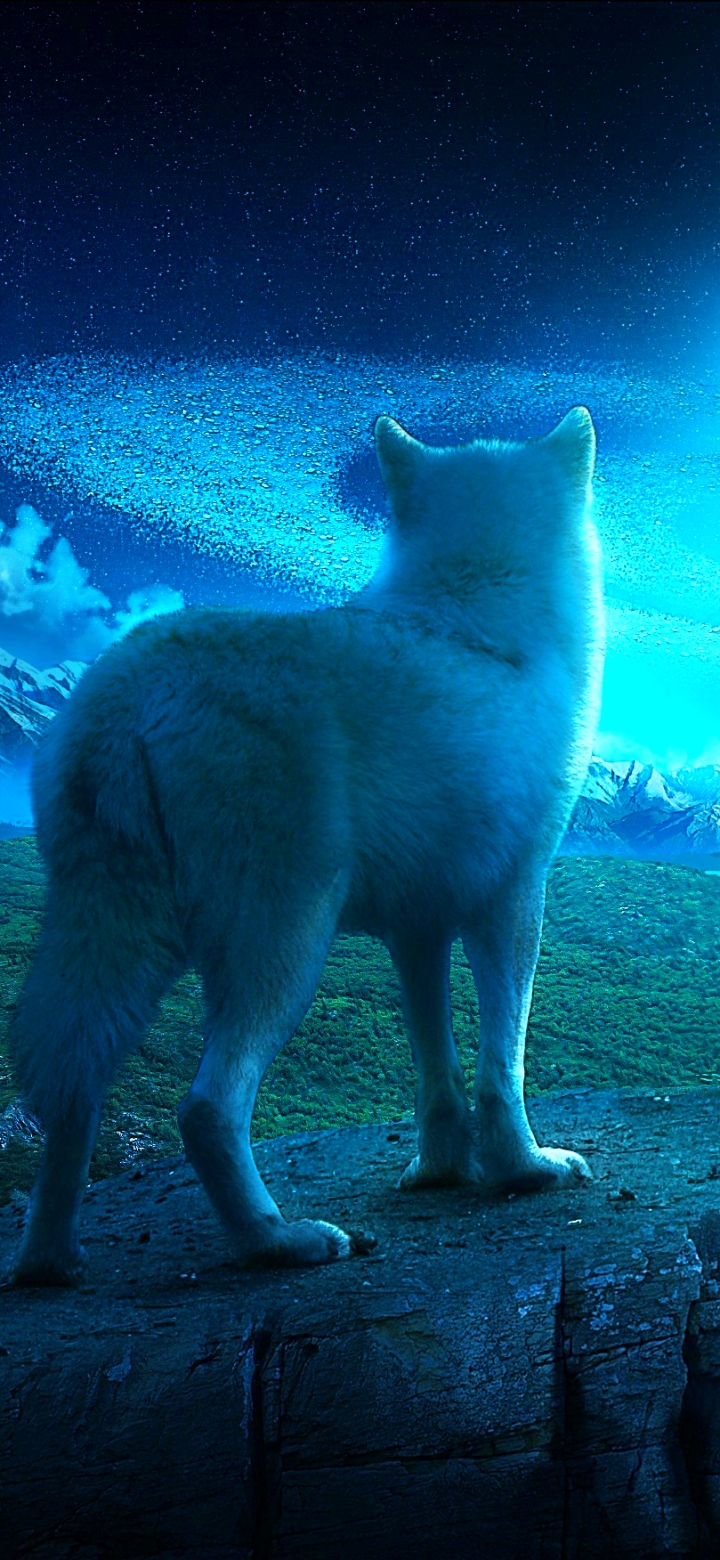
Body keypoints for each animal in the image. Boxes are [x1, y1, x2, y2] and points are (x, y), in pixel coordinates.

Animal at [10, 408, 604, 1286]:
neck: (476, 601)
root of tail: (125, 700)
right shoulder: (511, 901)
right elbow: (504, 1064)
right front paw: (525, 1171)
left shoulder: (416, 929)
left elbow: (437, 1068)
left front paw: (440, 1171)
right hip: (284, 947)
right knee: (207, 1106)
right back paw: (278, 1241)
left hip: (115, 944)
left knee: (70, 1085)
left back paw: (49, 1262)